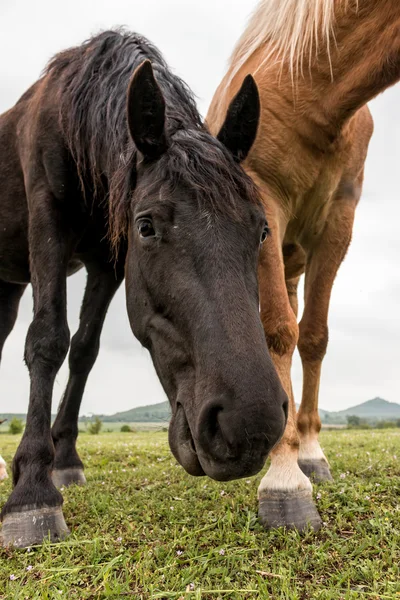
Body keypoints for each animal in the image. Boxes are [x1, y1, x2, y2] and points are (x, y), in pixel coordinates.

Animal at [0, 31, 288, 548]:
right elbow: (48, 340)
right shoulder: (48, 224)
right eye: (146, 226)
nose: (248, 425)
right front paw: (32, 489)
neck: (74, 118)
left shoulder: (109, 263)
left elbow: (85, 350)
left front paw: (65, 461)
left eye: (261, 231)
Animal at [208, 0, 400, 528]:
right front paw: (284, 480)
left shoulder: (339, 219)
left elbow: (312, 336)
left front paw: (309, 453)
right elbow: (277, 331)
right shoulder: (264, 203)